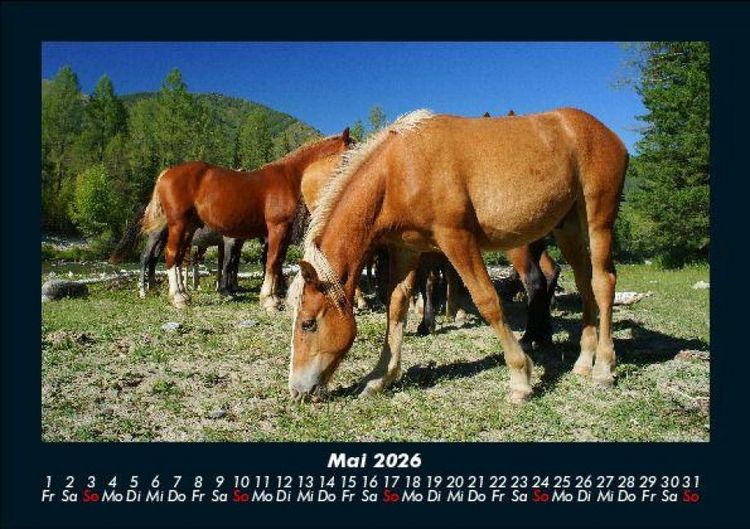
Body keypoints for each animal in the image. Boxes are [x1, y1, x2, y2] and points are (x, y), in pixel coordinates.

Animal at [141, 129, 353, 309]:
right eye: (351, 152)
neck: (289, 176)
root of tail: (167, 173)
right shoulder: (277, 228)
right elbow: (272, 261)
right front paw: (269, 300)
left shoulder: (283, 233)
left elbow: (278, 262)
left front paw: (273, 296)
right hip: (178, 224)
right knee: (169, 255)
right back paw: (176, 297)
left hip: (189, 227)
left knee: (177, 257)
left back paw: (183, 295)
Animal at [288, 108, 627, 403]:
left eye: (308, 324)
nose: (297, 390)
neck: (400, 168)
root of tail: (605, 132)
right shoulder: (407, 250)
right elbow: (395, 307)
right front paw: (380, 377)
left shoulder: (457, 239)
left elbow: (487, 302)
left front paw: (520, 378)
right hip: (569, 229)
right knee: (585, 285)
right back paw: (583, 361)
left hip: (598, 221)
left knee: (603, 283)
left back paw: (603, 368)